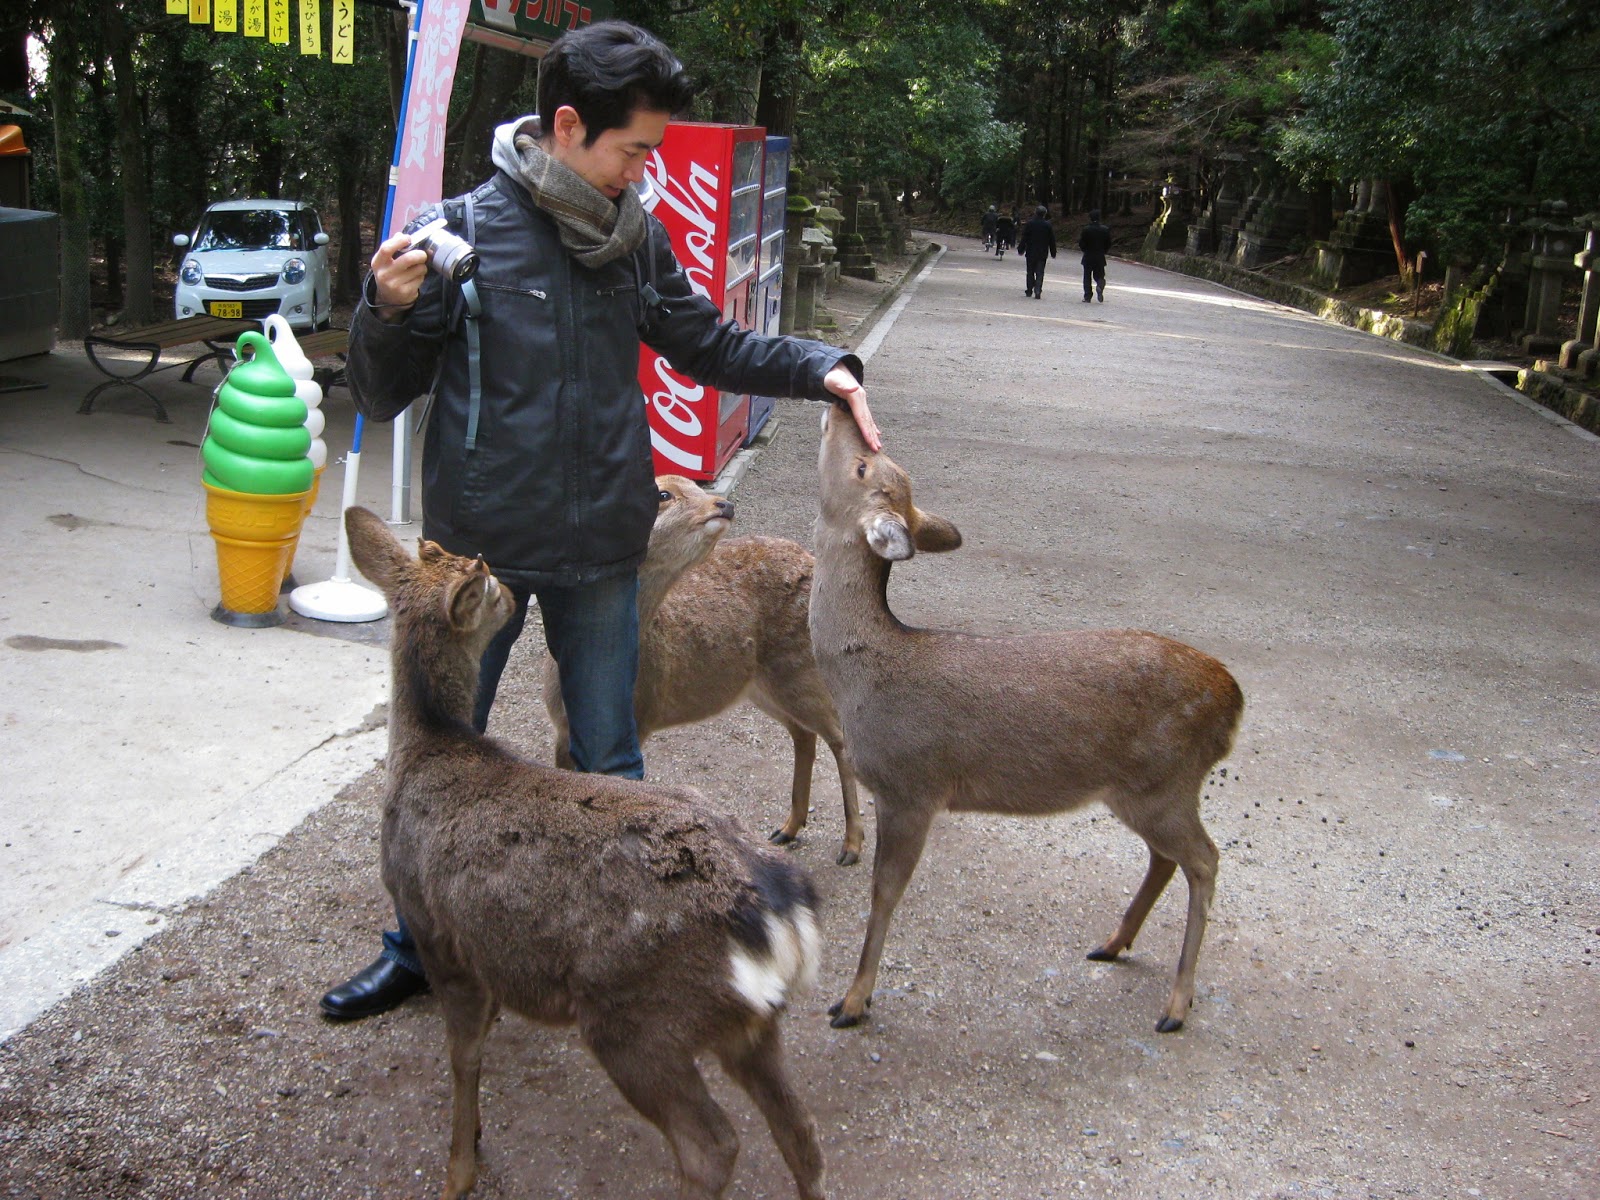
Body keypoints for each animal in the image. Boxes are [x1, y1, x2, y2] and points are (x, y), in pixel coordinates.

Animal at [345, 508, 832, 1200]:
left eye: (491, 584)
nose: (514, 587)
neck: (431, 751)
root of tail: (774, 913)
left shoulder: (436, 927)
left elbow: (463, 1055)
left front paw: (460, 1169)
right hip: (747, 1022)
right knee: (802, 1134)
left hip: (636, 1016)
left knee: (712, 1143)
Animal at [540, 476, 870, 864]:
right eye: (663, 493)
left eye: (695, 486)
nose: (723, 504)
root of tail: (810, 560)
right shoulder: (561, 730)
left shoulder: (641, 720)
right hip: (764, 685)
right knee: (804, 734)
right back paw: (788, 828)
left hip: (801, 670)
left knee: (839, 738)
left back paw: (851, 844)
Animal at [806, 409, 1241, 1036]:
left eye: (864, 466)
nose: (843, 407)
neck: (861, 680)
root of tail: (1233, 699)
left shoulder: (912, 785)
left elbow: (885, 893)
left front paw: (853, 1000)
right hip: (1144, 792)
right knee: (1169, 857)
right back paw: (1113, 943)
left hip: (1167, 780)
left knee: (1205, 859)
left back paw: (1177, 1004)